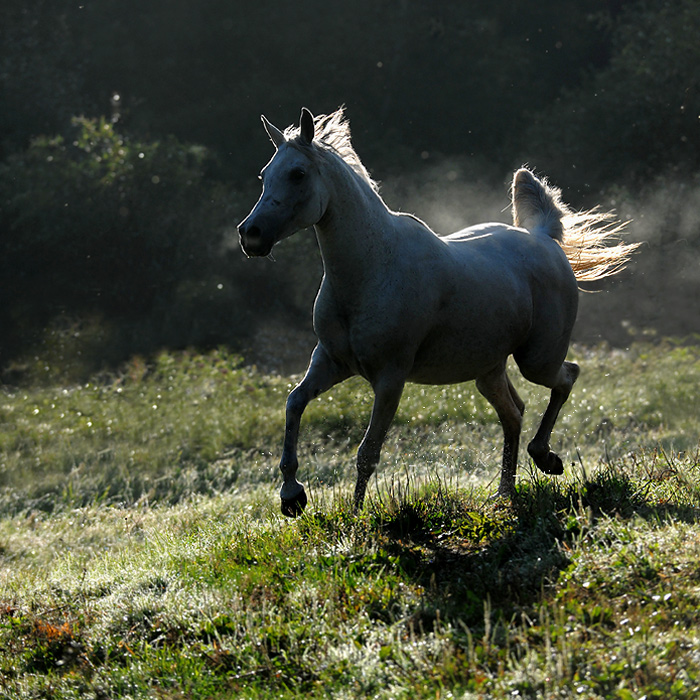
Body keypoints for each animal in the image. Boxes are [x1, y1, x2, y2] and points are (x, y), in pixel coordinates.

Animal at [238, 106, 636, 516]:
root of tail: (545, 239)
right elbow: (294, 404)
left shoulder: (390, 377)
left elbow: (367, 452)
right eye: (264, 174)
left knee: (567, 377)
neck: (373, 268)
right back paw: (504, 495)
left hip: (536, 360)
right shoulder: (331, 362)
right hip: (488, 370)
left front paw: (355, 517)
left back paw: (546, 459)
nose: (250, 235)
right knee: (514, 412)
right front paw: (291, 496)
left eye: (298, 174)